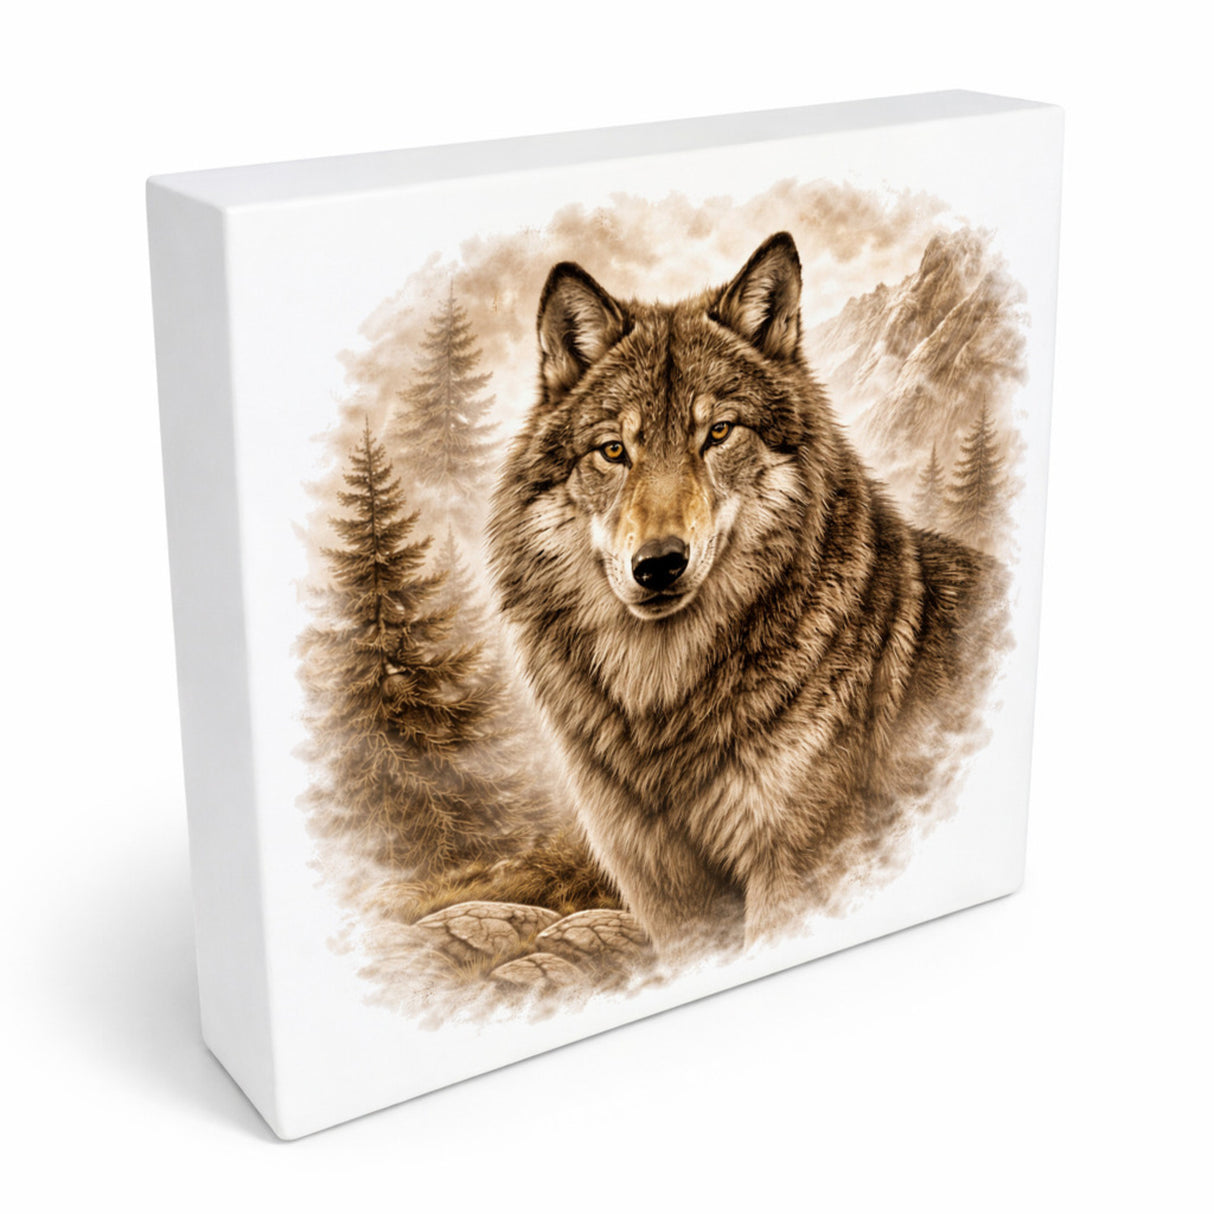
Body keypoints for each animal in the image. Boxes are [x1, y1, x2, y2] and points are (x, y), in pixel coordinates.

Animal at [488, 232, 1005, 957]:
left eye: (719, 433)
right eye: (614, 450)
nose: (659, 565)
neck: (666, 710)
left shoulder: (795, 873)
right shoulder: (670, 899)